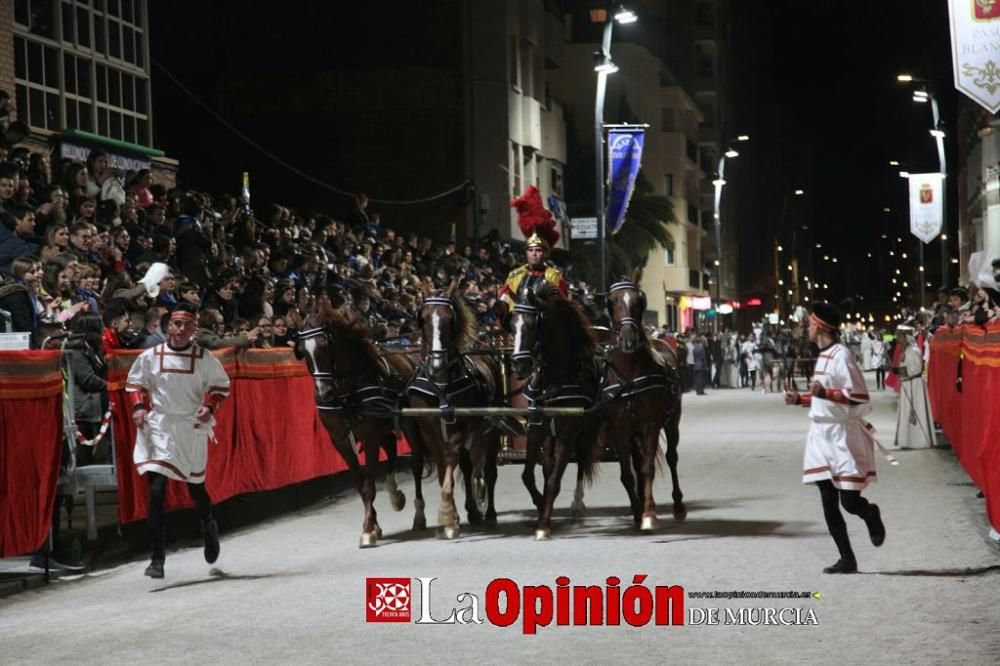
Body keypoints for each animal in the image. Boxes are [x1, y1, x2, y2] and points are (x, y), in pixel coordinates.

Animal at [292, 306, 414, 544]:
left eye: (324, 345)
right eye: (302, 350)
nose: (324, 393)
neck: (346, 393)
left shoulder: (370, 437)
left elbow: (369, 485)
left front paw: (368, 529)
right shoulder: (340, 441)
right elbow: (359, 484)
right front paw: (372, 525)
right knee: (391, 449)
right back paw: (396, 496)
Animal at [402, 278, 504, 536]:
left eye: (450, 319)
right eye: (423, 318)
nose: (436, 365)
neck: (440, 384)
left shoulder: (460, 428)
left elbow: (450, 459)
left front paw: (448, 515)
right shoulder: (428, 429)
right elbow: (442, 464)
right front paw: (450, 517)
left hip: (491, 430)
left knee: (489, 470)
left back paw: (489, 512)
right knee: (467, 467)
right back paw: (472, 510)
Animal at [508, 282, 600, 536]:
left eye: (532, 325)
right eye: (513, 323)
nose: (519, 365)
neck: (554, 381)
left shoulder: (568, 435)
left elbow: (553, 481)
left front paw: (544, 523)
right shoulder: (536, 430)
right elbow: (528, 475)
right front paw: (541, 507)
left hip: (585, 432)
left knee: (581, 463)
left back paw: (577, 504)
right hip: (551, 435)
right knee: (548, 465)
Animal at [600, 268, 688, 528]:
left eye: (640, 300)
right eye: (611, 301)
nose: (628, 339)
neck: (629, 376)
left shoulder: (650, 424)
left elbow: (648, 468)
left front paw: (648, 514)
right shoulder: (619, 428)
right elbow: (627, 474)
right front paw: (638, 512)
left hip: (671, 421)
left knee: (671, 457)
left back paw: (678, 505)